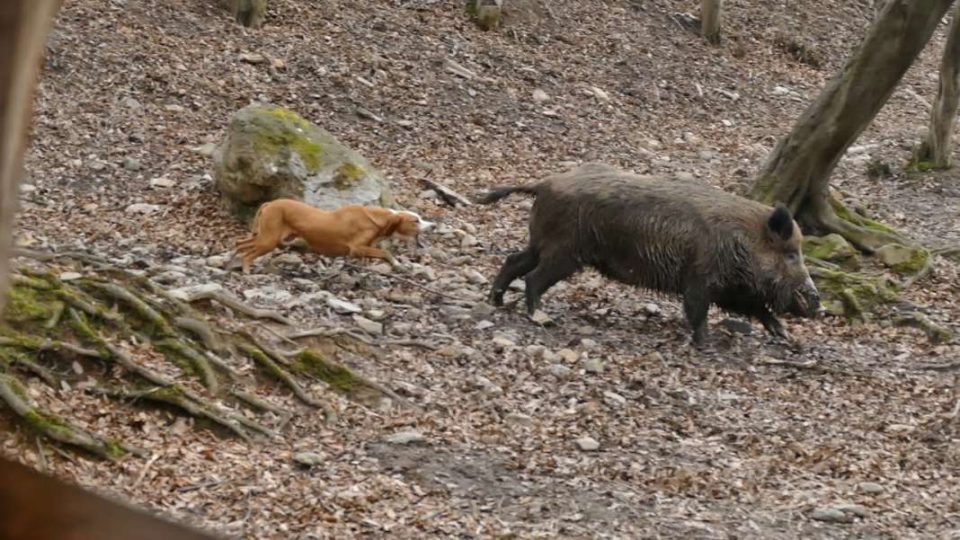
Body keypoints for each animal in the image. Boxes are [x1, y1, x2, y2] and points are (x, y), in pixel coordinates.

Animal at [235, 199, 436, 274]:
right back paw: (246, 270)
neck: (379, 220)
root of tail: (271, 203)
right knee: (247, 255)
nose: (434, 225)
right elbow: (386, 253)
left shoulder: (361, 251)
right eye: (416, 220)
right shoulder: (357, 248)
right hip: (269, 241)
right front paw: (397, 264)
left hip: (265, 237)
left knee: (239, 244)